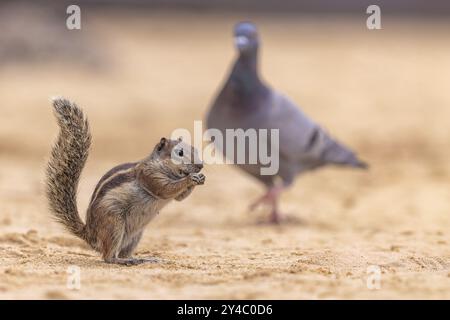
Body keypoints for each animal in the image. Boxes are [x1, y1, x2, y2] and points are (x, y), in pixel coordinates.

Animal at [45, 97, 204, 264]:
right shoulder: (148, 175)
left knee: (123, 252)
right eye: (179, 153)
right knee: (108, 257)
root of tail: (90, 234)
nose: (201, 165)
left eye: (195, 149)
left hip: (135, 235)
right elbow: (165, 189)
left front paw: (200, 178)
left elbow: (179, 197)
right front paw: (190, 178)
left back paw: (142, 259)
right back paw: (123, 261)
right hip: (114, 224)